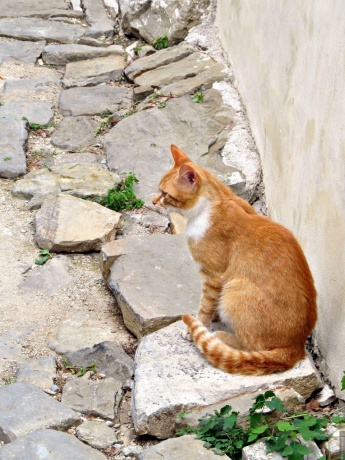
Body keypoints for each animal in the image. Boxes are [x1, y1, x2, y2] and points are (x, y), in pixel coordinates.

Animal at [153, 146, 318, 376]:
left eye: (165, 194)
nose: (153, 202)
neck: (210, 207)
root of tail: (297, 345)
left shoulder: (213, 275)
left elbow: (205, 305)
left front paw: (197, 325)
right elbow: (212, 303)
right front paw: (213, 318)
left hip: (236, 289)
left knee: (251, 347)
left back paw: (221, 336)